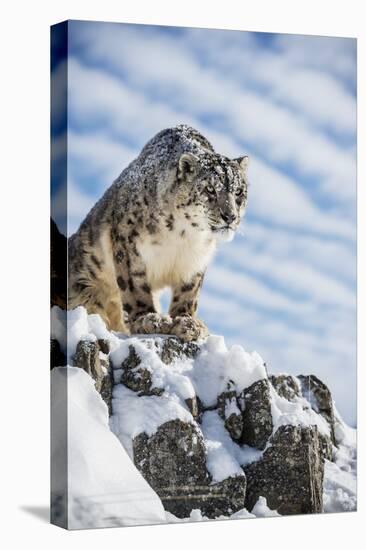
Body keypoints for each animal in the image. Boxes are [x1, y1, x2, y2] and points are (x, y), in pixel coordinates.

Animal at [68, 126, 249, 340]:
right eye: (210, 189)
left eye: (239, 192)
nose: (230, 216)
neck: (183, 236)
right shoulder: (128, 243)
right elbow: (134, 285)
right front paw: (148, 319)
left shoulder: (196, 260)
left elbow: (189, 292)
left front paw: (187, 322)